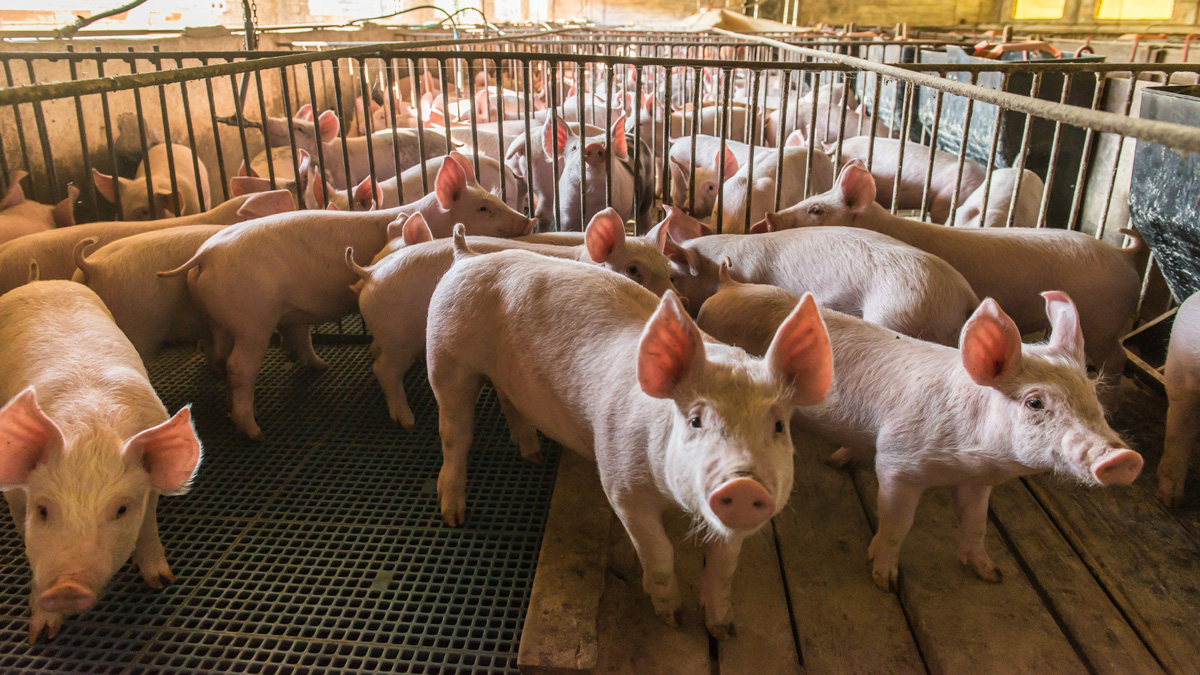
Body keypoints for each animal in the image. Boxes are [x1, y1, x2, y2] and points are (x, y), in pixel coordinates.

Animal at [0, 281, 203, 643]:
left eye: (121, 509)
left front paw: (162, 582)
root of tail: (39, 281)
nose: (66, 588)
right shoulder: (14, 497)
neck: (90, 432)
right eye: (42, 510)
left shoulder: (149, 490)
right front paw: (41, 635)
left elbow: (147, 526)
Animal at [159, 158, 536, 439]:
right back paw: (253, 431)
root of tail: (204, 255)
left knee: (219, 356)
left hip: (218, 319)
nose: (529, 220)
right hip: (252, 319)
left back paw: (311, 371)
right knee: (239, 366)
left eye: (497, 198)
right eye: (484, 208)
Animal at [350, 208, 682, 428]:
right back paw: (407, 420)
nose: (682, 303)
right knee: (384, 369)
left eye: (668, 270)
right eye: (633, 270)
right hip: (399, 338)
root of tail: (371, 273)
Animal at [426, 231, 832, 637]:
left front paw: (723, 629)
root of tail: (466, 256)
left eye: (778, 426)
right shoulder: (622, 485)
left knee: (509, 402)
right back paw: (454, 516)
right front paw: (672, 618)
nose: (745, 485)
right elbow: (660, 554)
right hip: (445, 357)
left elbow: (723, 567)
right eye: (695, 421)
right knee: (454, 432)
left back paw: (533, 455)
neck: (674, 502)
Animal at [697, 268, 1143, 591]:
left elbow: (976, 524)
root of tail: (729, 286)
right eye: (1036, 402)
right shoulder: (899, 463)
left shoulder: (978, 481)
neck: (968, 459)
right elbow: (897, 524)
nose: (1124, 457)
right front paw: (885, 581)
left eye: (1093, 395)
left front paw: (991, 573)